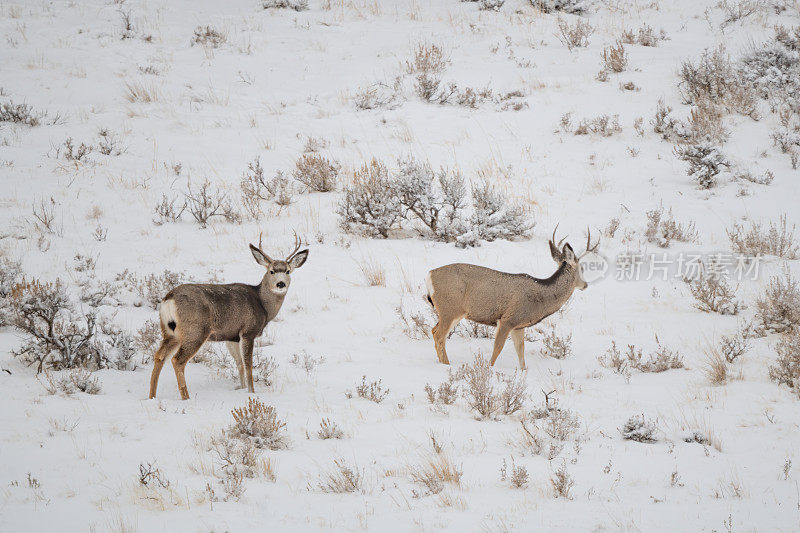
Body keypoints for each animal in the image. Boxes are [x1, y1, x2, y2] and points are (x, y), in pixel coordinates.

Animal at [150, 234, 310, 400]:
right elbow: (248, 365)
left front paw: (242, 389)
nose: (280, 284)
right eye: (271, 271)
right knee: (177, 360)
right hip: (195, 330)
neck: (262, 305)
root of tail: (169, 298)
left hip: (169, 332)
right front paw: (251, 392)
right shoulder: (248, 331)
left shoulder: (232, 337)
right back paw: (186, 397)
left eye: (288, 271)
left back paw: (152, 396)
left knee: (159, 356)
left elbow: (239, 364)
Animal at [428, 228, 596, 370]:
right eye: (582, 268)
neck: (541, 296)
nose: (585, 285)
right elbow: (498, 348)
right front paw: (489, 369)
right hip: (450, 308)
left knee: (433, 330)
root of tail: (429, 276)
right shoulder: (508, 319)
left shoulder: (519, 326)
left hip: (449, 311)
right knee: (439, 336)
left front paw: (523, 372)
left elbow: (520, 351)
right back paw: (446, 365)